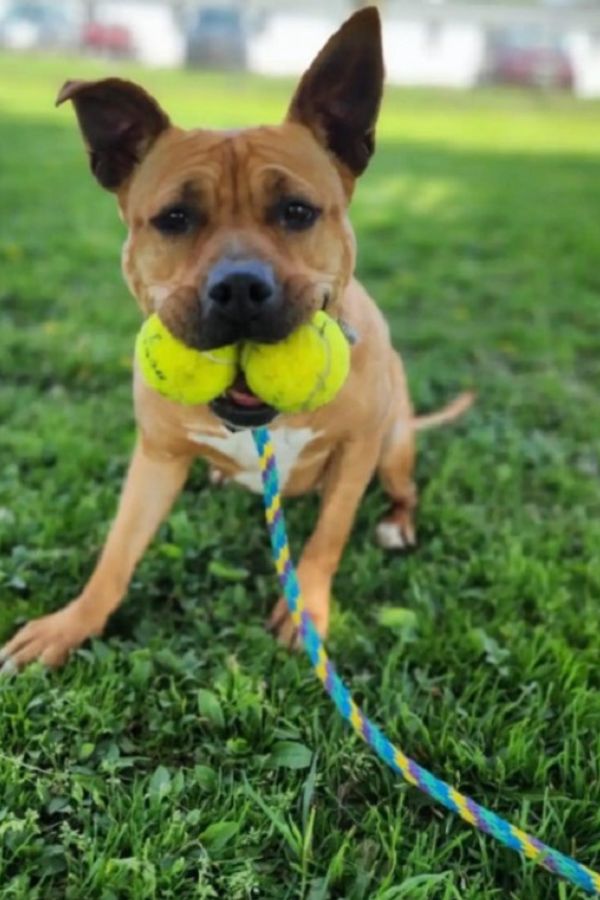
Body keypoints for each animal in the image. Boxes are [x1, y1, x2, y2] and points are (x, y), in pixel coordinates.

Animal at [0, 7, 472, 668]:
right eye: (174, 218)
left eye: (297, 211)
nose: (241, 288)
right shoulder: (156, 459)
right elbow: (115, 556)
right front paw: (69, 625)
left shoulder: (357, 452)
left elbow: (327, 538)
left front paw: (308, 613)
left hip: (396, 443)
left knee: (403, 490)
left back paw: (396, 525)